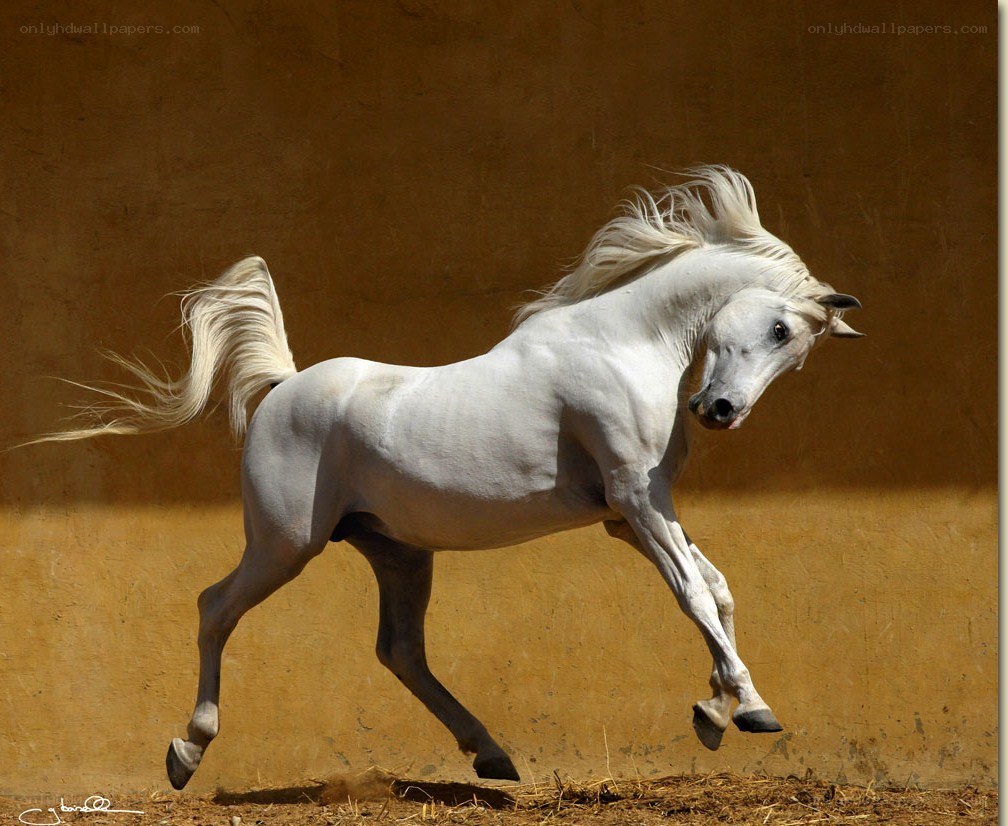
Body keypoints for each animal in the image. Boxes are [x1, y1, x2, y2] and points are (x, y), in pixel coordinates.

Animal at [32, 166, 863, 789]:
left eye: (792, 350)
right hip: (285, 544)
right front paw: (748, 710)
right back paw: (187, 750)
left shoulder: (630, 513)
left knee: (400, 650)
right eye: (779, 328)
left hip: (397, 552)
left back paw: (491, 754)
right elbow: (692, 593)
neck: (622, 344)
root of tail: (284, 387)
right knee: (214, 609)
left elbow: (717, 590)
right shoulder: (635, 498)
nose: (719, 410)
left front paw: (716, 712)